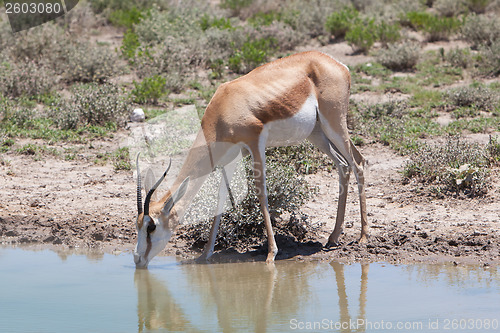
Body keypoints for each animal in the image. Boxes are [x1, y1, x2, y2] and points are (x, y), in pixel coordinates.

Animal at [133, 50, 368, 268]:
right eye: (137, 225)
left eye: (151, 226)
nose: (137, 259)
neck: (223, 110)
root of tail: (336, 63)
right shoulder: (230, 159)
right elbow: (222, 197)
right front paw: (205, 254)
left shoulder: (256, 142)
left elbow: (261, 192)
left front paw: (271, 254)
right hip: (317, 133)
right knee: (343, 165)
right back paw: (333, 237)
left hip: (334, 124)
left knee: (358, 163)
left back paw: (363, 237)